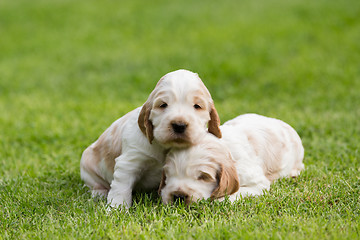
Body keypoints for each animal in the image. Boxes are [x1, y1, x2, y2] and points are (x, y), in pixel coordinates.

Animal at [80, 69, 221, 208]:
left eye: (197, 106)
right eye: (163, 105)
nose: (179, 125)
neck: (164, 147)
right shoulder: (129, 163)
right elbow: (121, 188)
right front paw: (116, 208)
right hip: (87, 165)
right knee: (95, 185)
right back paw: (100, 194)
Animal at [160, 113, 304, 203]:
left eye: (203, 177)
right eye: (168, 175)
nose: (178, 196)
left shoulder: (258, 183)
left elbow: (238, 192)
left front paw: (219, 199)